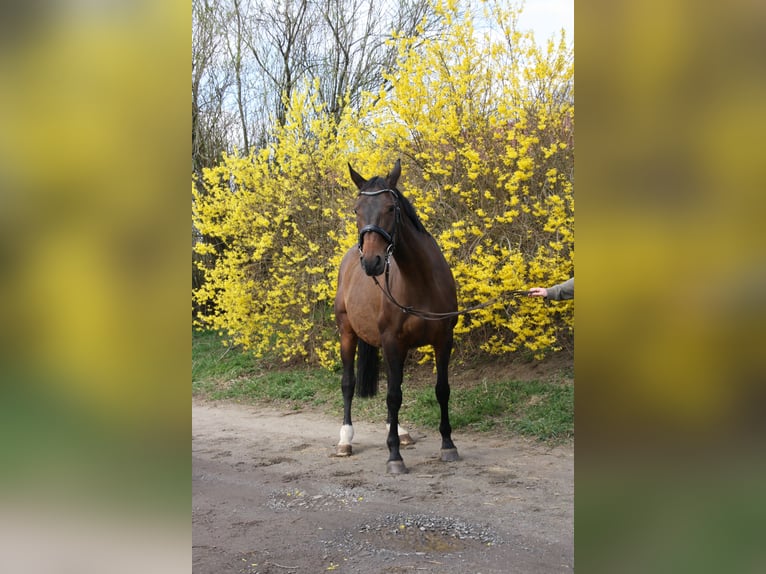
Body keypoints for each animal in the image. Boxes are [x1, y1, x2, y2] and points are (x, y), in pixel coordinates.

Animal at [332, 160, 460, 474]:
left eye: (391, 208)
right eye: (356, 209)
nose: (372, 262)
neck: (421, 281)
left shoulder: (443, 340)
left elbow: (441, 390)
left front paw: (448, 445)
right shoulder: (392, 341)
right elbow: (393, 396)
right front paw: (394, 457)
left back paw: (399, 431)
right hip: (347, 333)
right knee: (348, 383)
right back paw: (345, 440)